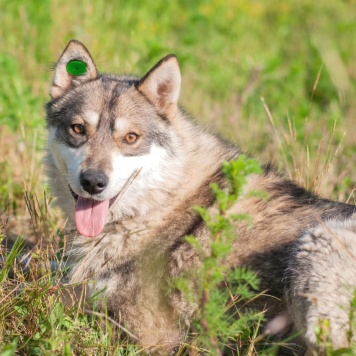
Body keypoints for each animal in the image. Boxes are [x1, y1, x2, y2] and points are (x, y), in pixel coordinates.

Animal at [46, 39, 354, 354]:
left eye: (131, 138)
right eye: (78, 129)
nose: (93, 181)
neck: (160, 204)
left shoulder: (151, 334)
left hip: (316, 243)